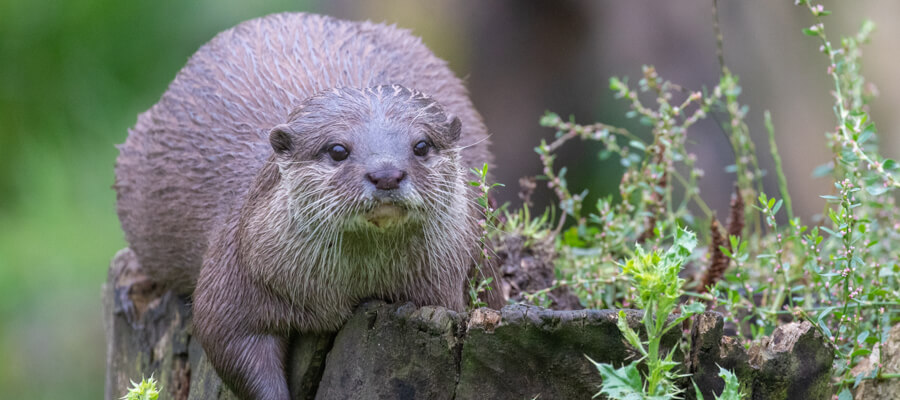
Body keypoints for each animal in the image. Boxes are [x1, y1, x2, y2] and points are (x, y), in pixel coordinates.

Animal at [115, 12, 502, 400]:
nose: (386, 174)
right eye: (338, 149)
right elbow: (225, 338)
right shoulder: (235, 273)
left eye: (421, 145)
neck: (348, 290)